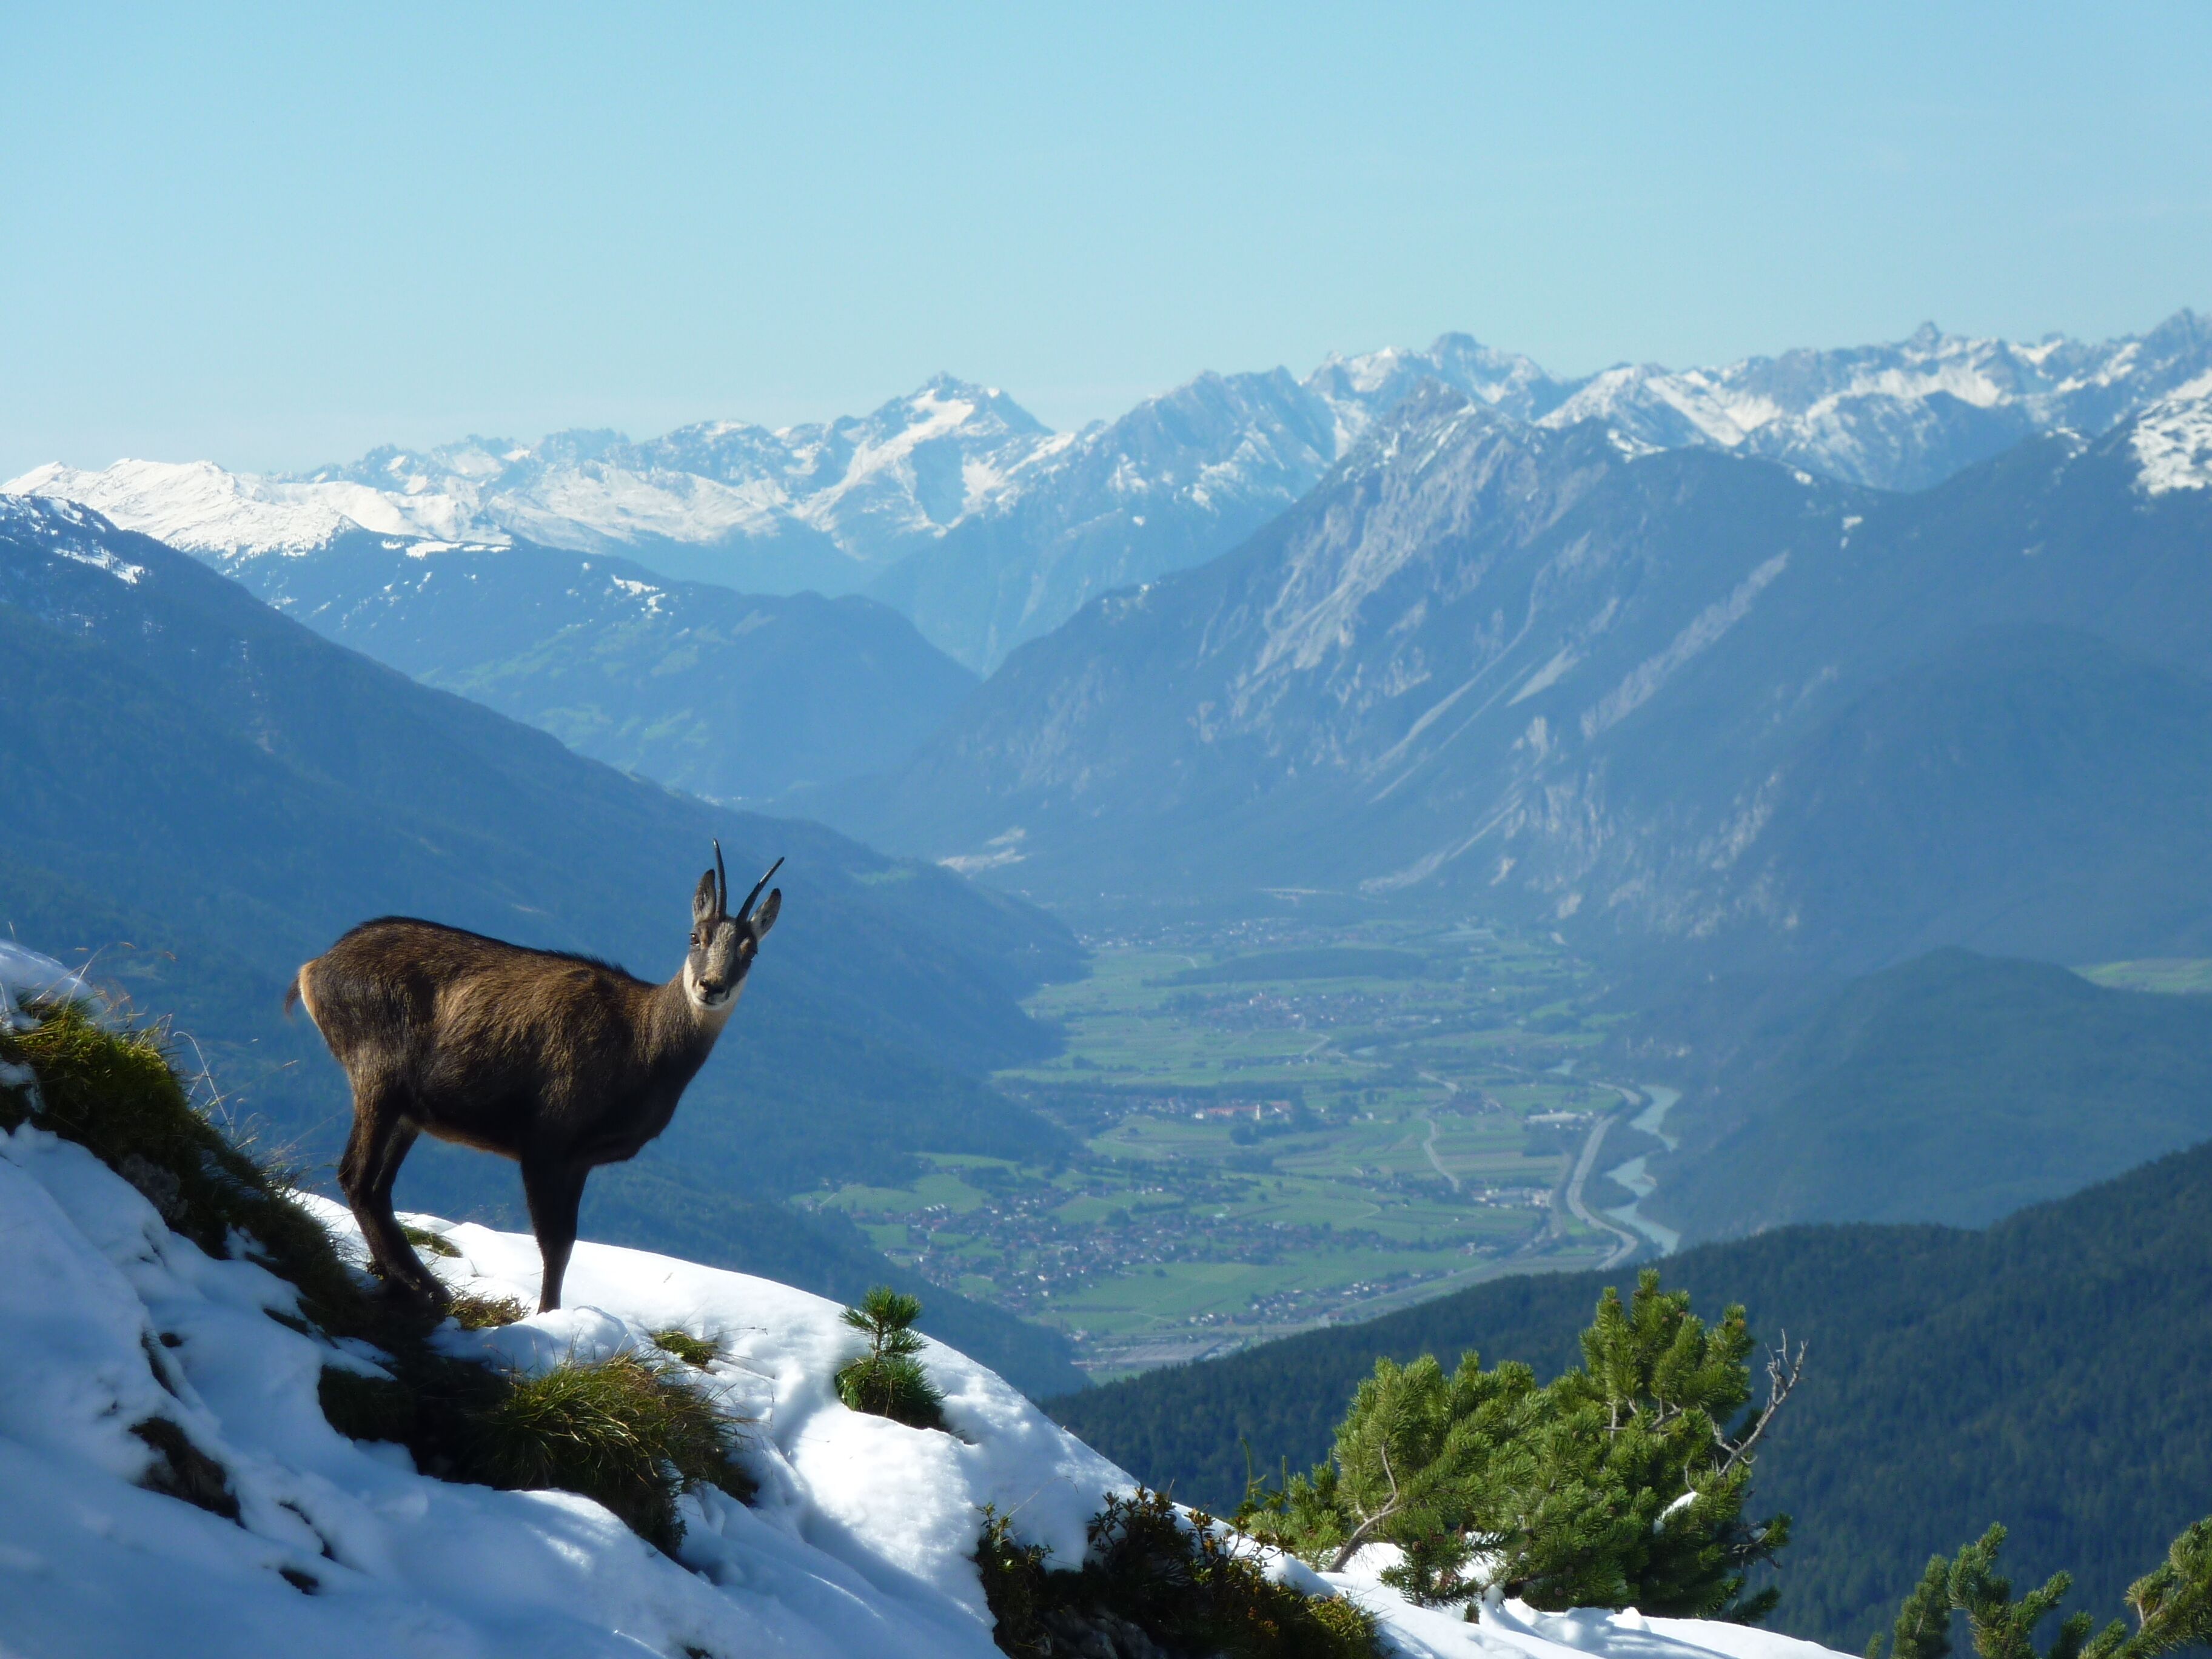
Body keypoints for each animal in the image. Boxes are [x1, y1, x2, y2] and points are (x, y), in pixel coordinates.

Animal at [287, 843, 781, 1313]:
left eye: (750, 951)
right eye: (695, 936)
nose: (711, 987)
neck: (643, 1042)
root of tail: (314, 969)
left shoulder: (580, 1160)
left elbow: (568, 1241)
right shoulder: (546, 1142)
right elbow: (554, 1242)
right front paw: (547, 1316)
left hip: (411, 1111)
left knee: (377, 1187)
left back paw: (416, 1284)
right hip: (378, 1077)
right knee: (356, 1177)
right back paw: (419, 1285)